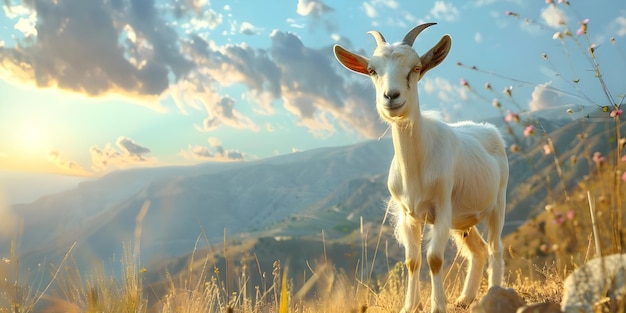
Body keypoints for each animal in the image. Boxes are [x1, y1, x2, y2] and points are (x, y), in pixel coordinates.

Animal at [332, 23, 508, 310]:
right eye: (372, 70)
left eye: (415, 68)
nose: (391, 96)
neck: (416, 168)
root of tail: (490, 130)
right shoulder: (409, 214)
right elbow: (412, 261)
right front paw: (409, 306)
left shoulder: (442, 209)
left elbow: (434, 259)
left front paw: (437, 306)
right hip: (462, 220)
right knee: (479, 249)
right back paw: (465, 298)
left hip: (497, 204)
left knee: (495, 247)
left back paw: (494, 292)